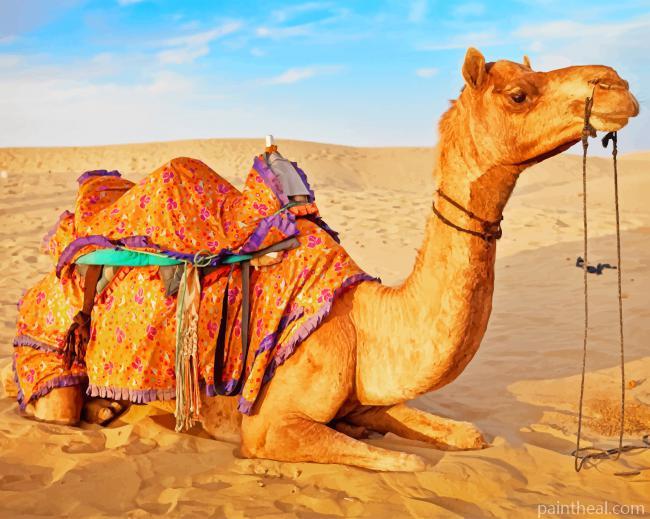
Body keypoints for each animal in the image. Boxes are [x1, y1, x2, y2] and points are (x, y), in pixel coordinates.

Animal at [3, 48, 639, 471]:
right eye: (518, 94)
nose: (617, 83)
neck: (364, 324)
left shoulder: (365, 398)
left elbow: (466, 436)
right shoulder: (269, 428)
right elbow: (407, 462)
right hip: (52, 358)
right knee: (54, 405)